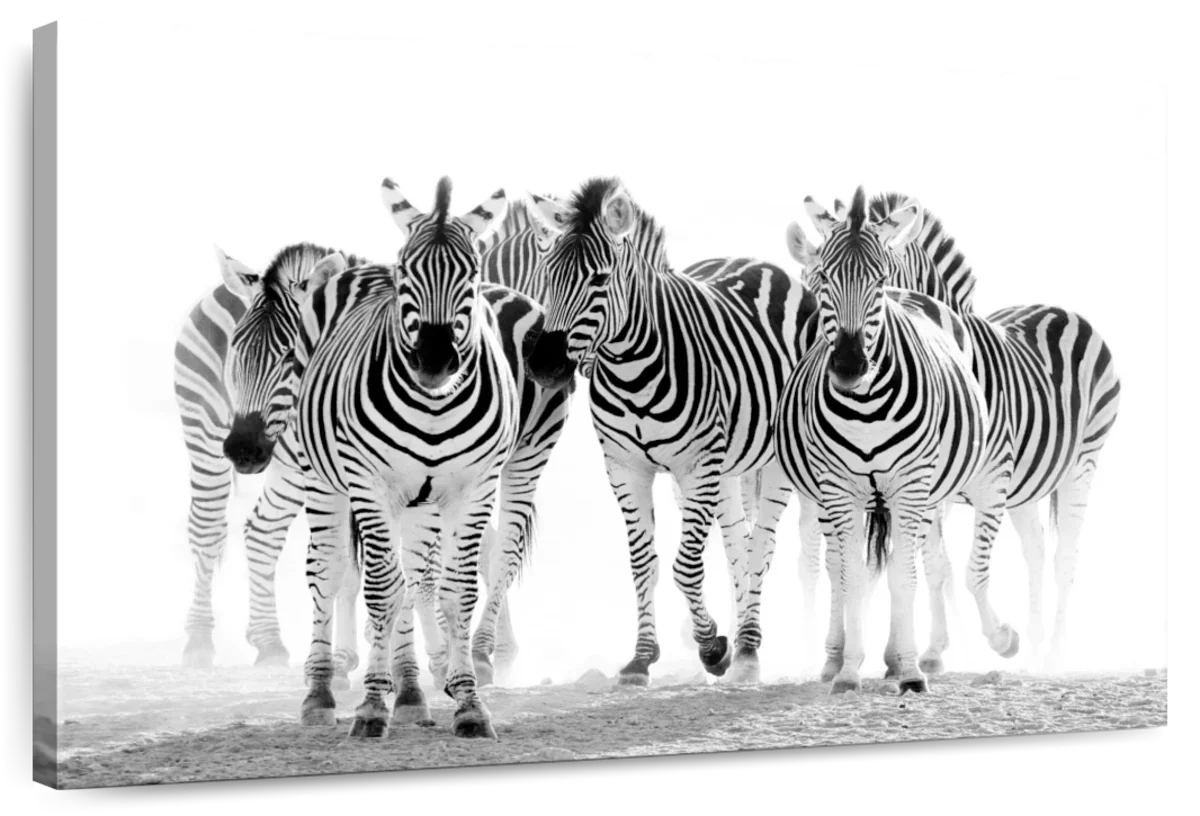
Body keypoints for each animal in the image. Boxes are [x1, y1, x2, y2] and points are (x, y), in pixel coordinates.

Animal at [278, 177, 570, 740]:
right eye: (405, 272)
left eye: (471, 274)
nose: (434, 362)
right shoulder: (371, 483)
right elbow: (379, 589)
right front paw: (372, 707)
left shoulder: (472, 487)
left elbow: (454, 590)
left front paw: (469, 704)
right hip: (322, 478)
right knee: (328, 570)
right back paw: (321, 691)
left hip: (451, 491)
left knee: (421, 577)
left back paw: (413, 692)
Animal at [524, 177, 823, 687]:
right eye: (548, 275)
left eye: (599, 279)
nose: (544, 364)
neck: (631, 369)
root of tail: (759, 262)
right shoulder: (625, 468)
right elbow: (644, 562)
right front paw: (643, 657)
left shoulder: (696, 466)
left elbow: (686, 566)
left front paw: (713, 649)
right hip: (727, 469)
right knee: (737, 547)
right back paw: (741, 638)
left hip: (773, 461)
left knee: (760, 546)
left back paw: (747, 649)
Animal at [773, 186, 1015, 695]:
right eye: (823, 279)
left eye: (879, 282)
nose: (848, 366)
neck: (866, 408)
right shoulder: (838, 489)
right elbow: (850, 578)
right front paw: (848, 672)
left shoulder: (914, 486)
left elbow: (907, 576)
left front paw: (908, 669)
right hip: (827, 497)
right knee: (839, 567)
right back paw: (835, 657)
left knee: (914, 565)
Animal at [791, 192, 1122, 675]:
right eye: (818, 281)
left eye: (882, 281)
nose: (844, 366)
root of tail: (1056, 308)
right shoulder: (937, 486)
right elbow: (936, 566)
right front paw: (933, 650)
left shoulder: (988, 478)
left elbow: (967, 570)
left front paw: (997, 638)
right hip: (1025, 487)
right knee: (1036, 551)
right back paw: (1036, 642)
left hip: (1083, 463)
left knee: (1065, 557)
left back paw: (1055, 653)